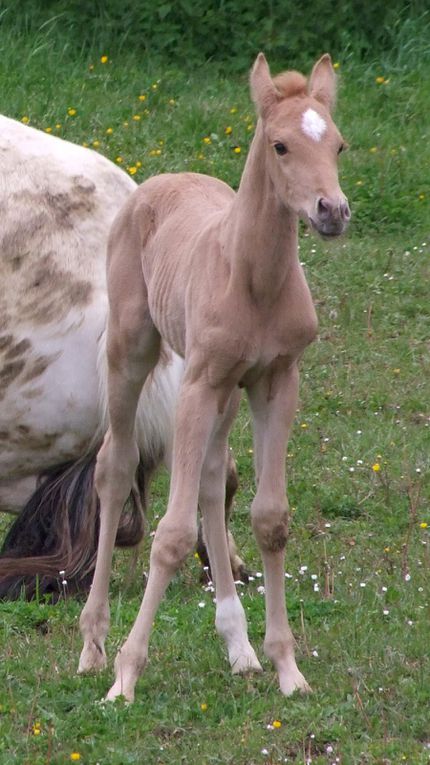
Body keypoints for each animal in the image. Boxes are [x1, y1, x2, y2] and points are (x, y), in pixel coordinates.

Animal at [79, 52, 352, 700]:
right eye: (280, 145)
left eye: (338, 145)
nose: (332, 212)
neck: (254, 280)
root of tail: (158, 180)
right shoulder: (197, 385)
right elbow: (172, 533)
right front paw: (125, 676)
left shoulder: (277, 380)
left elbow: (270, 519)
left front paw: (286, 668)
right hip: (133, 353)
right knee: (115, 466)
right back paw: (92, 644)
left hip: (228, 390)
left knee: (208, 476)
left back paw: (239, 646)